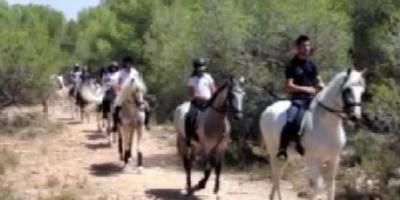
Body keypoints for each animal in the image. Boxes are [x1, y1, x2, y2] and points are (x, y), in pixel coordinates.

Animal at [260, 69, 366, 200]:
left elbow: (330, 188)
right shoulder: (312, 160)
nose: (355, 118)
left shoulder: (334, 159)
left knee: (277, 176)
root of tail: (267, 110)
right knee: (276, 176)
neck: (327, 126)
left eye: (362, 92)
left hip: (286, 155)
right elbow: (317, 187)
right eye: (347, 90)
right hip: (274, 151)